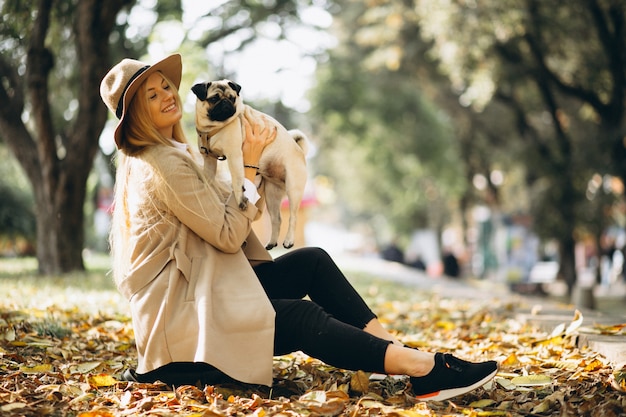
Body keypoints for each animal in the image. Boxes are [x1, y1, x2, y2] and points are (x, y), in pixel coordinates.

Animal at [190, 80, 308, 250]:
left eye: (232, 98)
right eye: (213, 99)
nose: (225, 103)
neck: (214, 127)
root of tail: (300, 150)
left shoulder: (234, 156)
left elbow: (237, 182)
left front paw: (240, 200)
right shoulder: (209, 159)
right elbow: (208, 178)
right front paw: (207, 189)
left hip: (293, 188)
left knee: (293, 216)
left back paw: (289, 241)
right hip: (272, 195)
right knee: (276, 219)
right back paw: (272, 242)